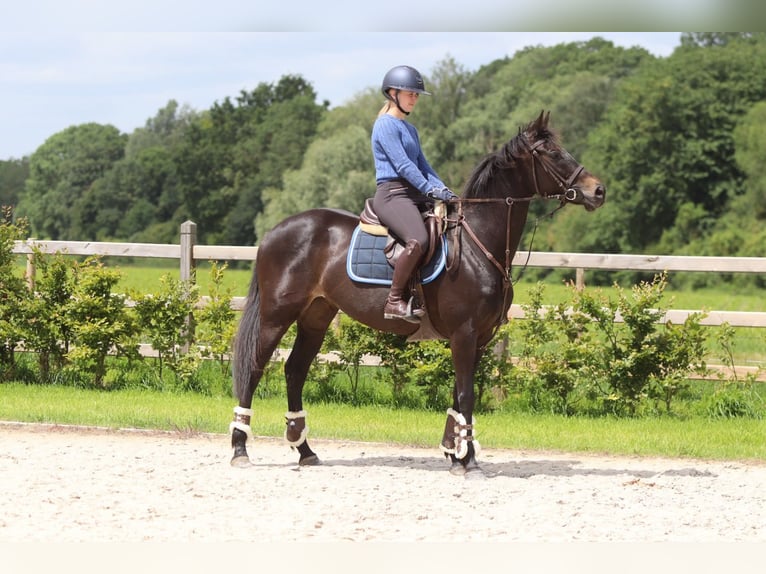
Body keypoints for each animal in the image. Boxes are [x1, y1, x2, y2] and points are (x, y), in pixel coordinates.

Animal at [230, 111, 606, 476]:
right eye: (552, 153)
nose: (598, 190)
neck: (476, 242)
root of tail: (275, 231)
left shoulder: (479, 337)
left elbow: (458, 394)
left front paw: (454, 453)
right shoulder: (464, 333)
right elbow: (467, 394)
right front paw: (469, 461)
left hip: (315, 317)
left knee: (294, 371)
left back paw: (305, 451)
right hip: (276, 316)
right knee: (254, 369)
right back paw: (239, 450)